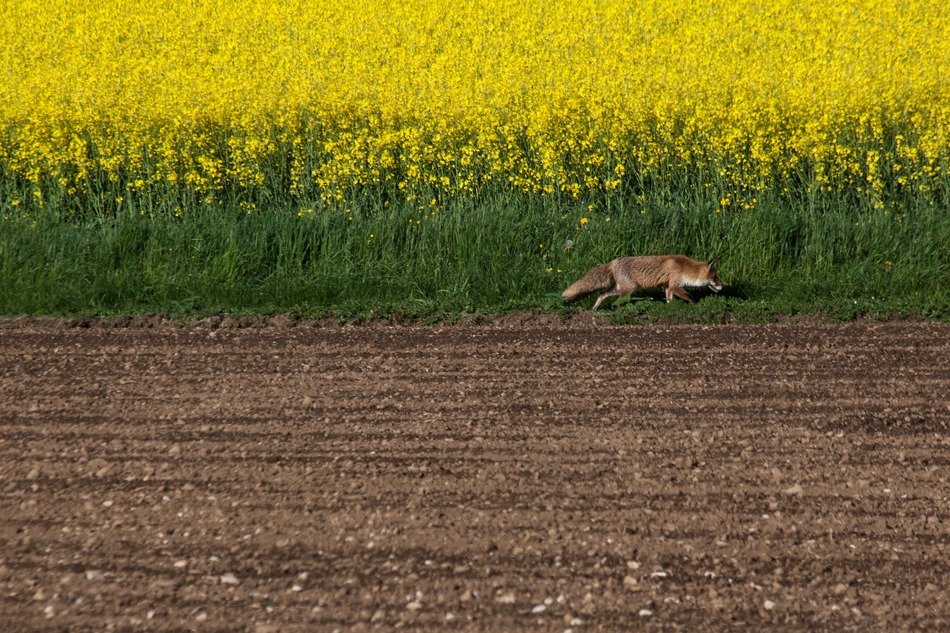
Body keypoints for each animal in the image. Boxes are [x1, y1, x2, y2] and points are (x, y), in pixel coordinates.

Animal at [562, 255, 723, 312]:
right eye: (716, 277)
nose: (722, 286)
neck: (685, 268)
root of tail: (613, 262)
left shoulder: (668, 287)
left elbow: (669, 301)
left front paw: (669, 309)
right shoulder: (675, 285)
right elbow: (691, 297)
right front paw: (696, 305)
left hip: (620, 288)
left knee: (602, 294)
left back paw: (595, 309)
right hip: (629, 289)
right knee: (617, 302)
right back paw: (621, 313)